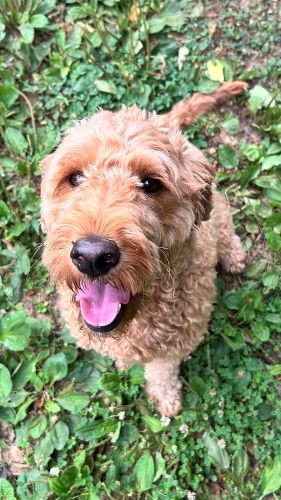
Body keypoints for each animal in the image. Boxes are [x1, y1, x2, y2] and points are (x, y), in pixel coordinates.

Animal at [40, 83, 246, 418]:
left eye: (150, 184)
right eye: (75, 177)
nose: (93, 256)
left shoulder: (175, 345)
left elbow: (162, 371)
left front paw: (166, 398)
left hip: (219, 211)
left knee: (226, 231)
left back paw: (234, 256)